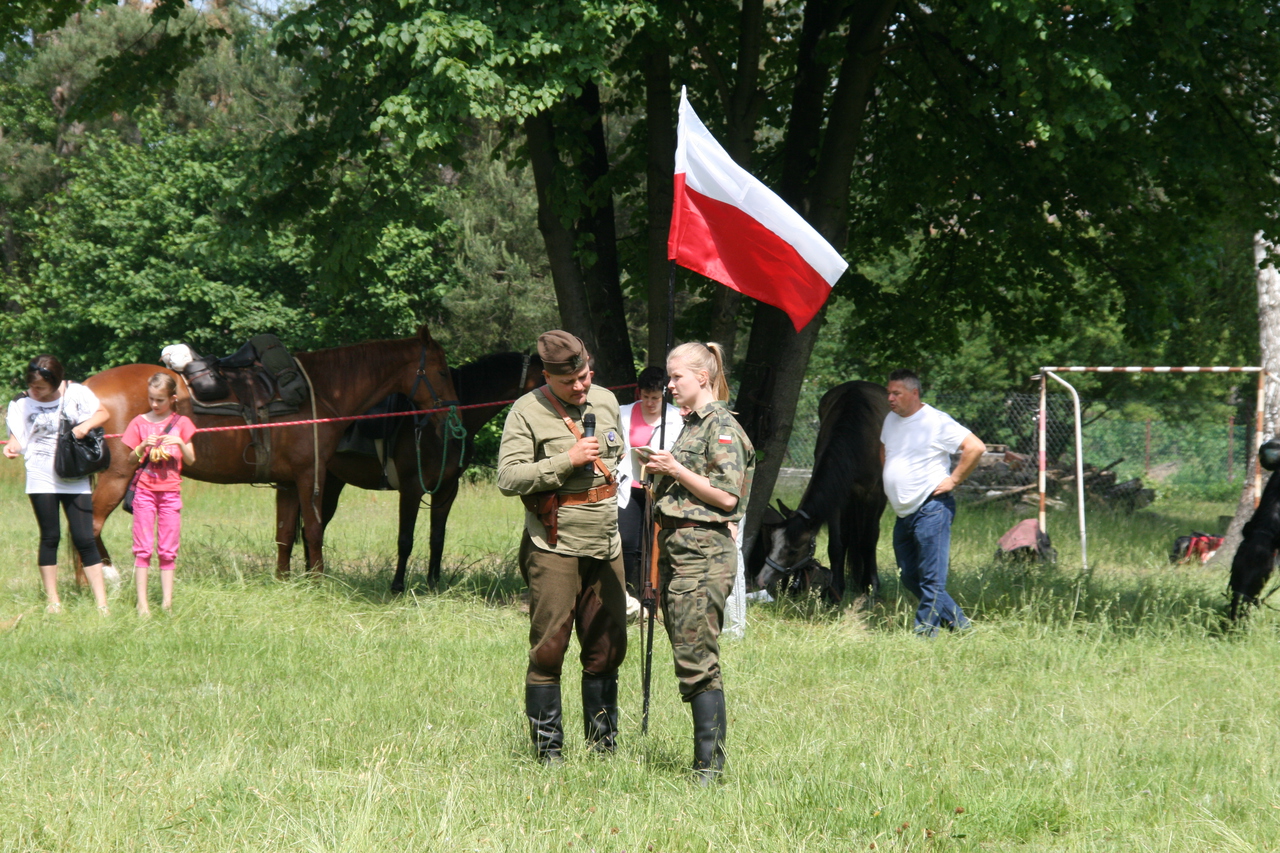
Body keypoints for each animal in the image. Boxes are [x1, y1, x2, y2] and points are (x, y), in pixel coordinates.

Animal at [85, 325, 458, 578]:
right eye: (441, 370)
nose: (450, 411)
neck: (321, 391)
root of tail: (86, 388)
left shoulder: (288, 483)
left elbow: (284, 534)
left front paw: (284, 582)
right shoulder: (310, 476)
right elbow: (313, 531)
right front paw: (317, 582)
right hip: (117, 475)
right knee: (90, 526)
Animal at [317, 348, 542, 589]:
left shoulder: (446, 489)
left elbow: (437, 538)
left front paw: (433, 584)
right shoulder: (411, 489)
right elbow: (406, 539)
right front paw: (397, 586)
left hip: (332, 482)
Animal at [752, 379, 885, 596]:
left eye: (793, 551)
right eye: (771, 543)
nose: (761, 580)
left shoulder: (874, 495)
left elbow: (868, 540)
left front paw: (871, 587)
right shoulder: (837, 497)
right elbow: (837, 544)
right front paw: (836, 589)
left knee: (871, 534)